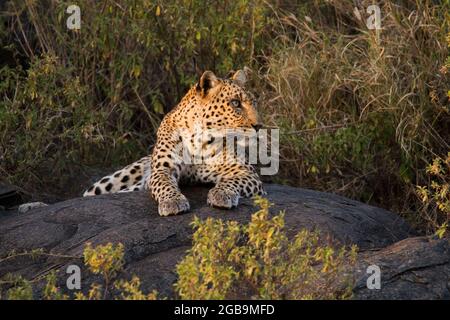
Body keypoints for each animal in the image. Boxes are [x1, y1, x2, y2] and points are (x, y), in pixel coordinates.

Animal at [83, 69, 264, 216]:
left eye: (255, 103)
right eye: (235, 103)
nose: (259, 125)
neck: (200, 140)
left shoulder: (245, 171)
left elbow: (231, 181)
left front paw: (221, 194)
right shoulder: (162, 170)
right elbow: (165, 185)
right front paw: (173, 202)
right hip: (113, 180)